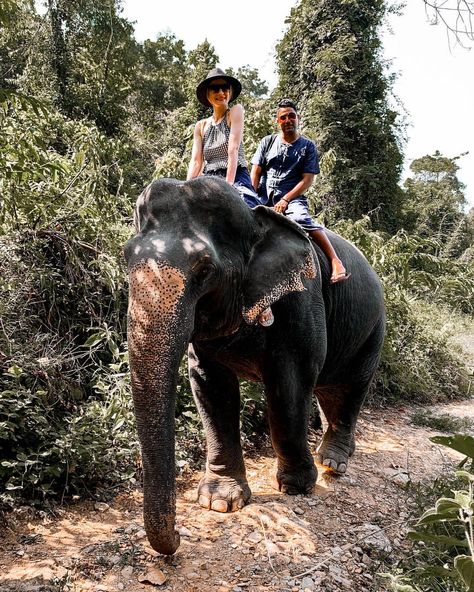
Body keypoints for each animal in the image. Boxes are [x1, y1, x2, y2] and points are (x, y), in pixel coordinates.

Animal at [126, 176, 386, 556]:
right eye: (125, 258)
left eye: (205, 271)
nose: (177, 538)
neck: (255, 219)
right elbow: (211, 388)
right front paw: (220, 502)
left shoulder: (301, 299)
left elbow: (289, 387)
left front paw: (296, 487)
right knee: (329, 392)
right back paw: (335, 454)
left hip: (374, 327)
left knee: (353, 387)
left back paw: (333, 463)